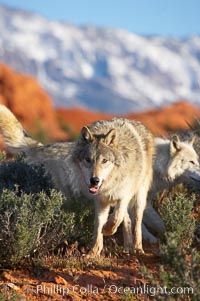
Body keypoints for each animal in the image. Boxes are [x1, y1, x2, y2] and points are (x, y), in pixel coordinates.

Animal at [0, 104, 155, 254]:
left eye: (104, 161)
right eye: (88, 159)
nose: (94, 180)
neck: (109, 184)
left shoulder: (123, 196)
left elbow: (116, 218)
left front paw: (107, 231)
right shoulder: (100, 201)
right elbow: (99, 226)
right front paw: (93, 252)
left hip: (139, 197)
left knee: (135, 221)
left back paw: (137, 248)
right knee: (127, 219)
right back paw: (127, 247)